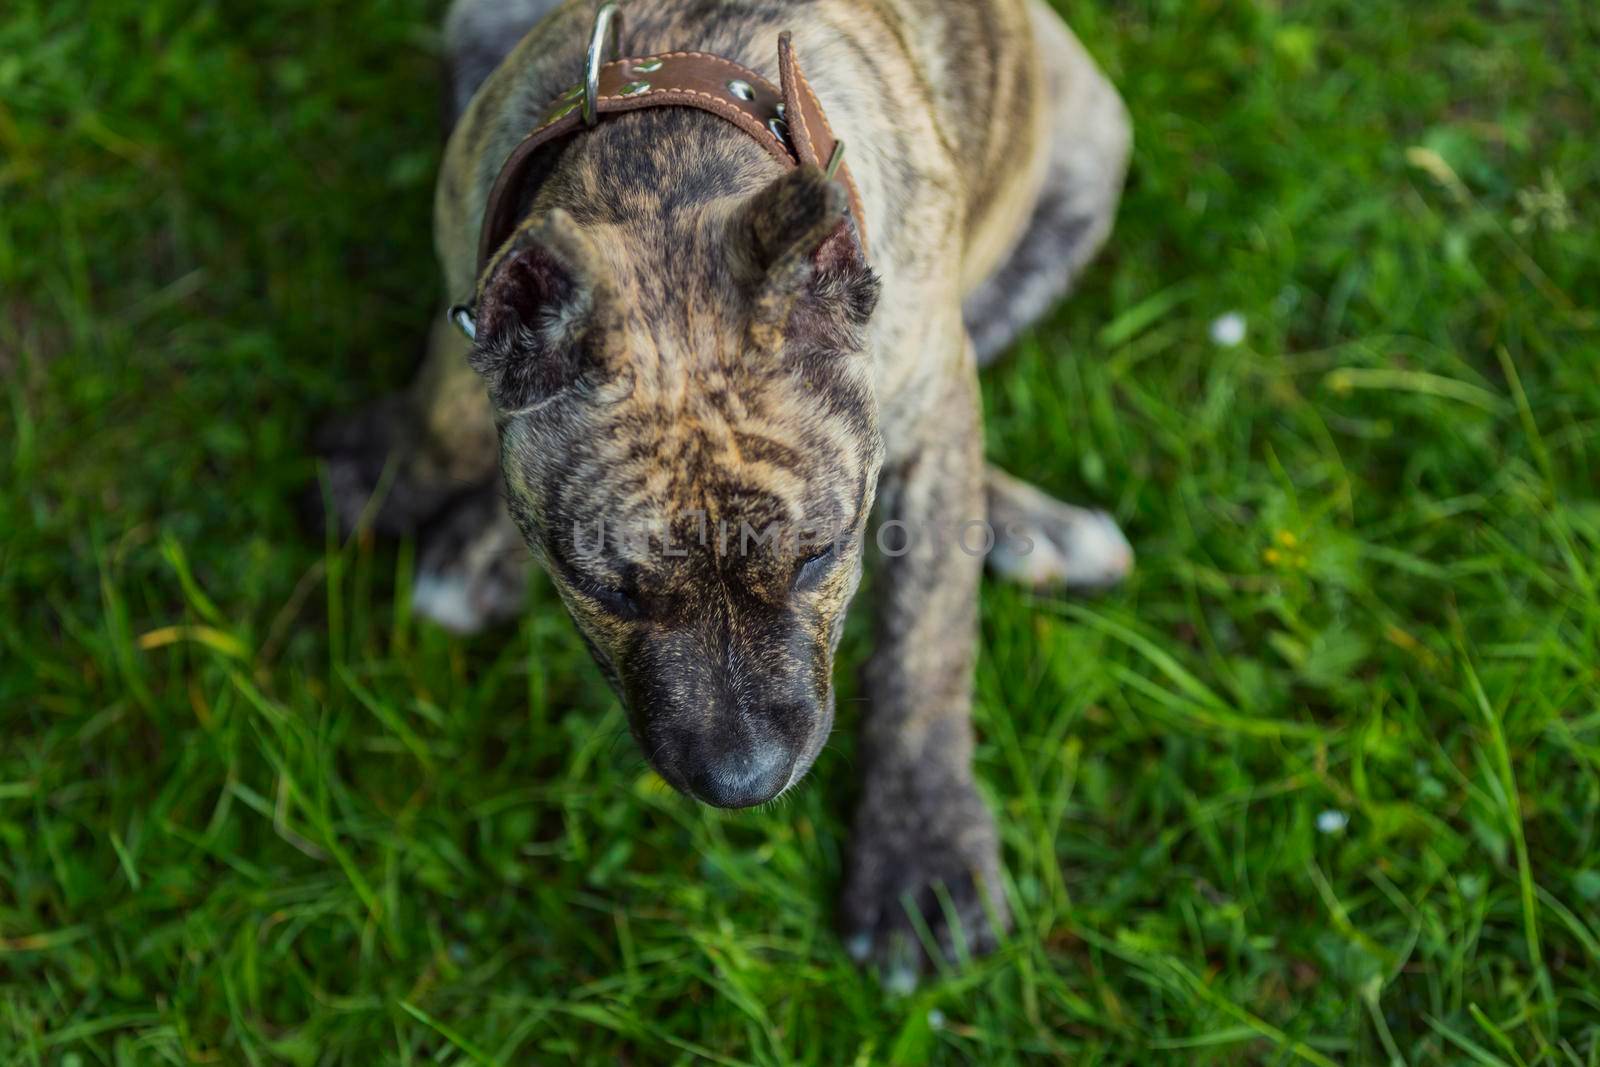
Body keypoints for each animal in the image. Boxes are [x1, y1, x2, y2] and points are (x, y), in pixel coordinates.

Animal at [318, 0, 1132, 979]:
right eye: (606, 588)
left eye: (821, 554)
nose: (746, 784)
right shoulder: (471, 266)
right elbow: (449, 397)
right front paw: (397, 470)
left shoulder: (931, 394)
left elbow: (926, 638)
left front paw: (920, 851)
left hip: (1080, 157)